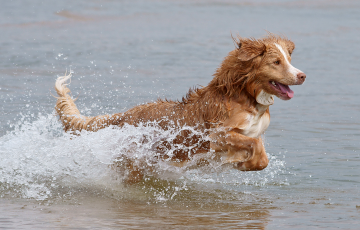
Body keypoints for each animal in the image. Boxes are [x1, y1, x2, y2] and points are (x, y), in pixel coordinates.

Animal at [54, 33, 306, 182]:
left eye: (289, 59)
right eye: (276, 62)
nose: (302, 75)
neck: (244, 95)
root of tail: (125, 115)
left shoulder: (250, 132)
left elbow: (259, 151)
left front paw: (245, 163)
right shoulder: (218, 134)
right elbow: (256, 147)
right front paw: (245, 164)